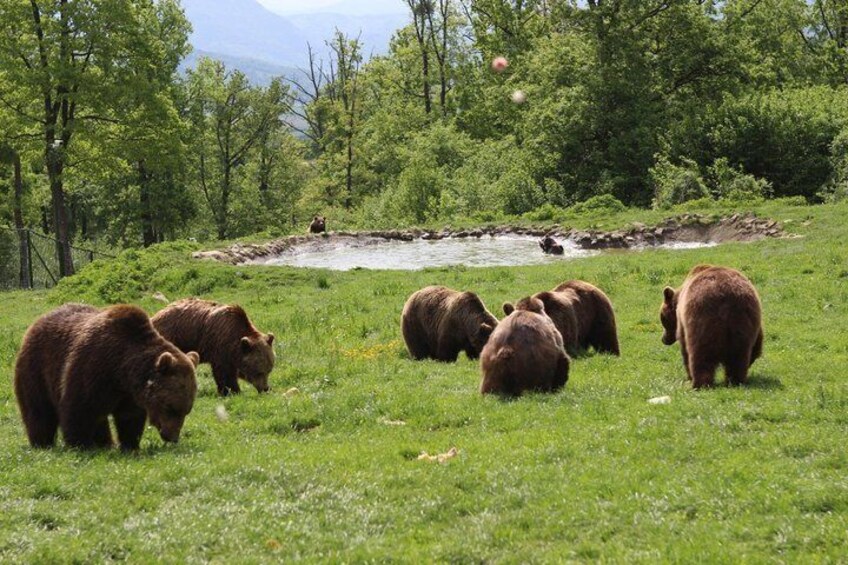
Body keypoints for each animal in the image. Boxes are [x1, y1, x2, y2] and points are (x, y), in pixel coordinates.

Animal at [14, 303, 199, 450]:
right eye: (170, 407)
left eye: (187, 410)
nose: (172, 437)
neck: (121, 371)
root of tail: (38, 321)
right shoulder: (91, 368)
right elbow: (78, 408)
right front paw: (79, 444)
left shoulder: (129, 393)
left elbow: (129, 418)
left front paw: (130, 445)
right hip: (37, 368)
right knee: (39, 409)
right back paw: (42, 442)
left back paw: (105, 443)